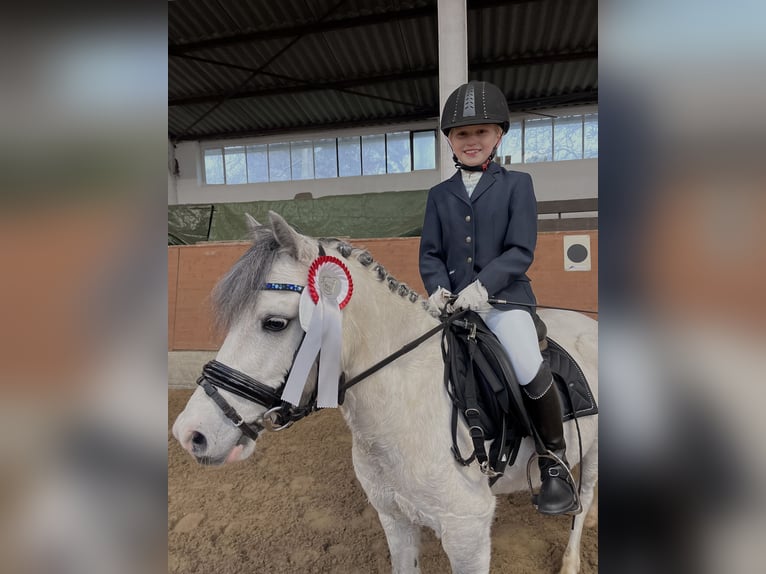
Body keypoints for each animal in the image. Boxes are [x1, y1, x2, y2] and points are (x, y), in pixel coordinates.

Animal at [172, 211, 598, 574]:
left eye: (274, 323)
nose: (190, 434)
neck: (404, 405)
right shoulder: (394, 518)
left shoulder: (467, 533)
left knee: (584, 498)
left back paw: (570, 557)